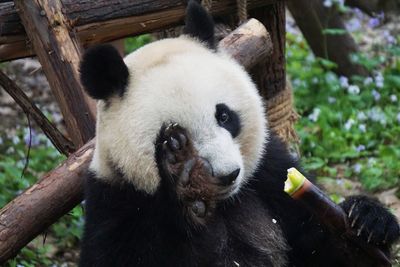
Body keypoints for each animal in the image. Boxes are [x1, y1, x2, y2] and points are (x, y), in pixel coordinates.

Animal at [77, 1, 396, 266]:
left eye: (224, 116)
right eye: (172, 134)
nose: (227, 175)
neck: (223, 205)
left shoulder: (270, 174)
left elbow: (322, 247)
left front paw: (367, 221)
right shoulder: (117, 201)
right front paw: (182, 178)